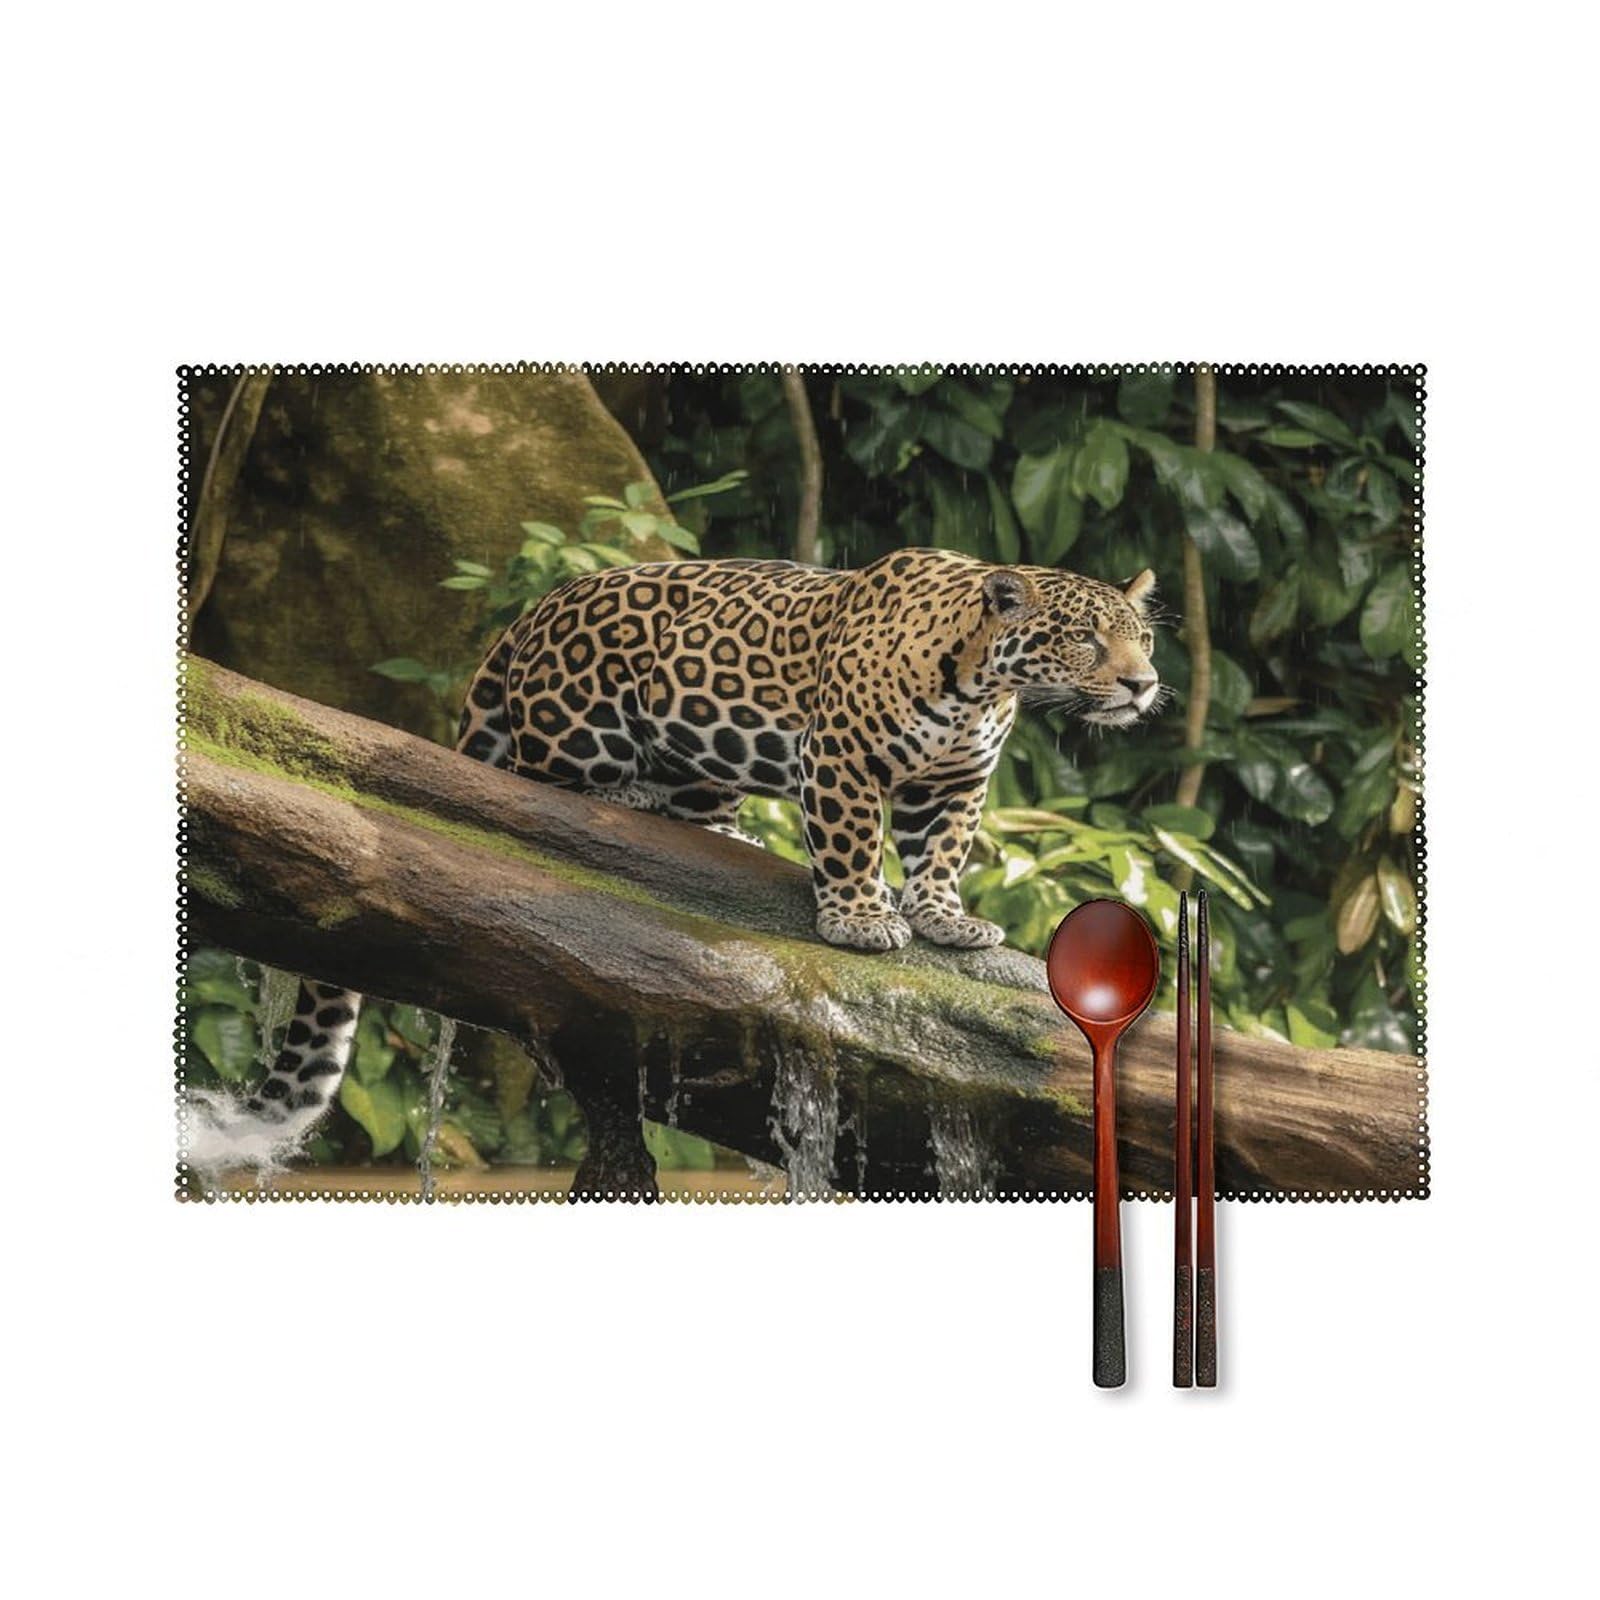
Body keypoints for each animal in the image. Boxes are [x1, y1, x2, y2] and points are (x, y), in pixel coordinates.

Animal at [186, 548, 1159, 1173]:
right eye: (1085, 640)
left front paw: (946, 919)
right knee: (538, 783)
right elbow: (852, 839)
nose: (1144, 684)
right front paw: (859, 919)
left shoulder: (955, 781)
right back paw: (629, 802)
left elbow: (943, 852)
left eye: (1141, 638)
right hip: (583, 723)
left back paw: (727, 839)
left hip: (704, 760)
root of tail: (531, 613)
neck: (983, 684)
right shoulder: (840, 756)